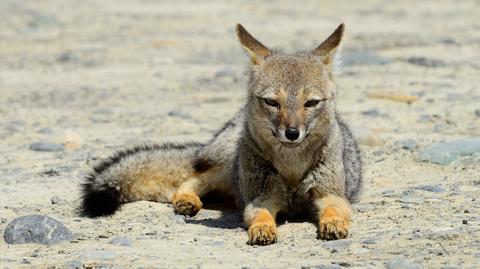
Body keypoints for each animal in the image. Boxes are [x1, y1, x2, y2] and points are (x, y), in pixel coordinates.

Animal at [80, 23, 362, 245]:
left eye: (311, 103)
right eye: (272, 102)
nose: (292, 133)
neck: (291, 169)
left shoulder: (330, 194)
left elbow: (336, 210)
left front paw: (333, 224)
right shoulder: (262, 197)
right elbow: (260, 214)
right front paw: (262, 228)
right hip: (226, 161)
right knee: (191, 179)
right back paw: (187, 201)